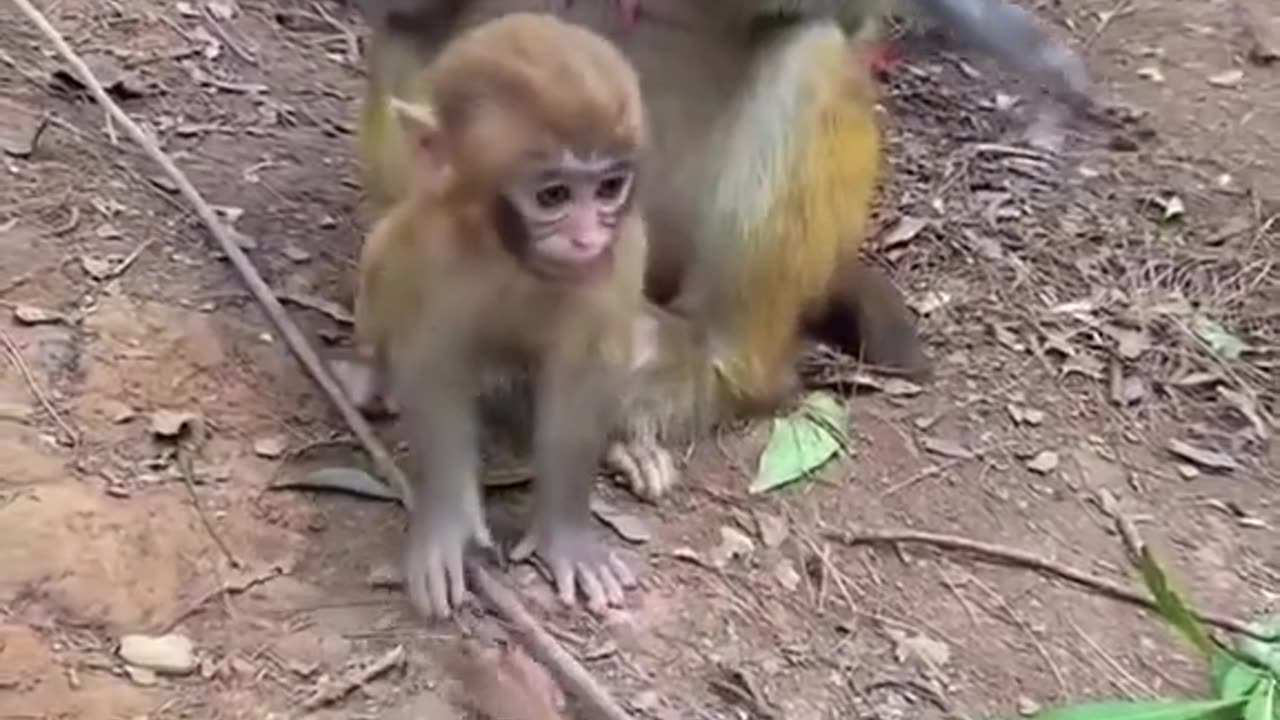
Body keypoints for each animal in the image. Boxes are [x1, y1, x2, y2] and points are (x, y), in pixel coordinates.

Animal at [353, 11, 645, 617]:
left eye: (608, 188)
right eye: (554, 196)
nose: (586, 238)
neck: (515, 256)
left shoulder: (621, 254)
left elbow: (584, 378)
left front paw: (568, 536)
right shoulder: (437, 244)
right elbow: (433, 365)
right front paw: (446, 529)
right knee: (385, 258)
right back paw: (373, 372)